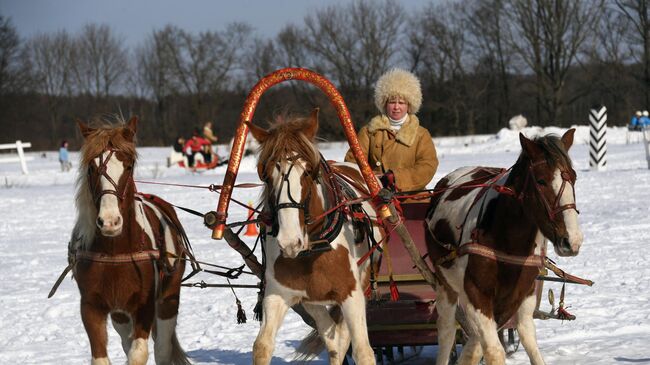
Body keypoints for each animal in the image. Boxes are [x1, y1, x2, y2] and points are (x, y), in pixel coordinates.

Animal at [72, 117, 192, 364]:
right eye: (91, 167)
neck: (115, 251)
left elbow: (139, 354)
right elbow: (101, 357)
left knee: (162, 348)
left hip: (167, 300)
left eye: (128, 166)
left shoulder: (144, 306)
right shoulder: (91, 306)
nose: (109, 221)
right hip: (120, 314)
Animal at [246, 109, 382, 362]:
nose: (290, 241)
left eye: (309, 171)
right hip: (312, 300)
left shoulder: (352, 295)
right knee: (334, 341)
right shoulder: (279, 293)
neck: (315, 248)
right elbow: (262, 346)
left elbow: (362, 351)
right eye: (266, 176)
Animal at [426, 129, 584, 364]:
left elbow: (527, 338)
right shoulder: (477, 294)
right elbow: (493, 350)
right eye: (541, 181)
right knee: (446, 331)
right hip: (446, 285)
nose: (572, 240)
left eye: (573, 177)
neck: (508, 241)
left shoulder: (522, 295)